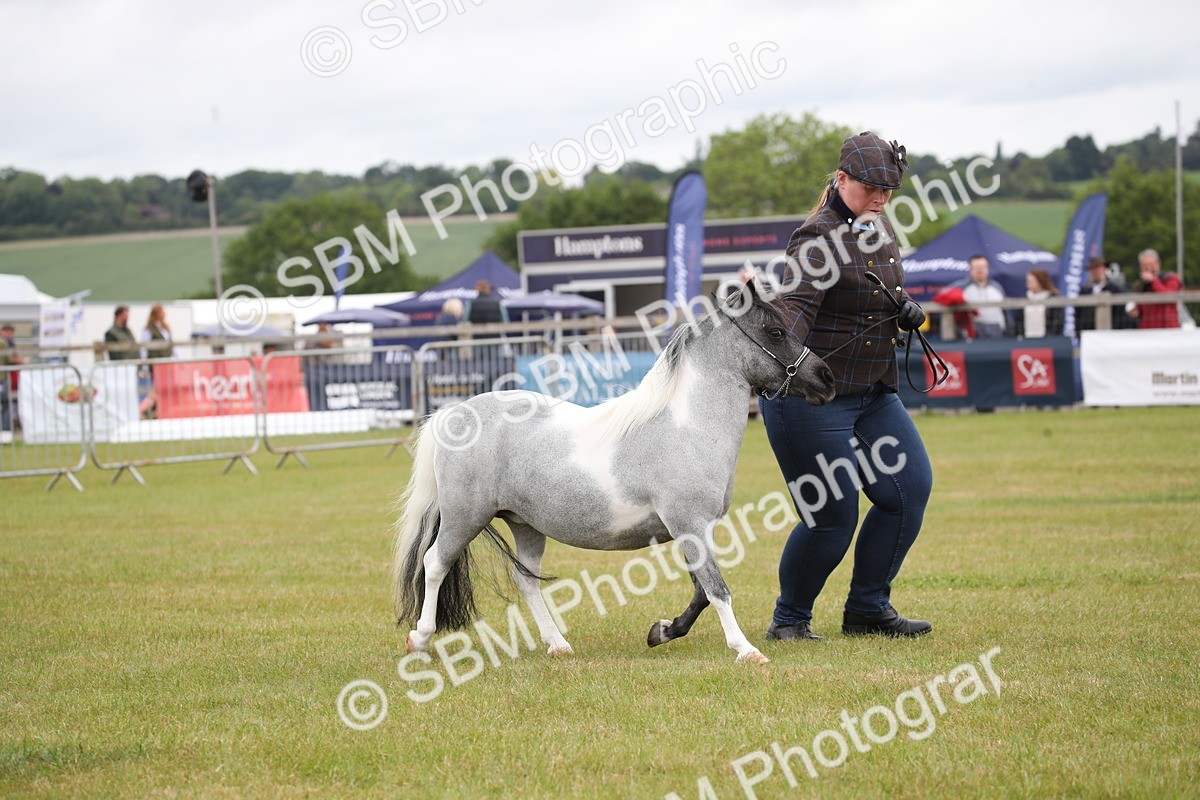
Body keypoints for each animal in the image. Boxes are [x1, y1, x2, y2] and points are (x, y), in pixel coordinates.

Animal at [392, 283, 836, 663]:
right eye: (775, 332)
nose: (826, 379)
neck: (686, 426)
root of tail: (454, 414)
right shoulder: (689, 524)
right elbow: (717, 589)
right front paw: (746, 650)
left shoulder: (693, 530)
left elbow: (701, 592)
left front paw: (662, 631)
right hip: (464, 517)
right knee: (434, 564)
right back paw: (420, 638)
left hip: (525, 524)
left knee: (526, 580)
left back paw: (557, 644)